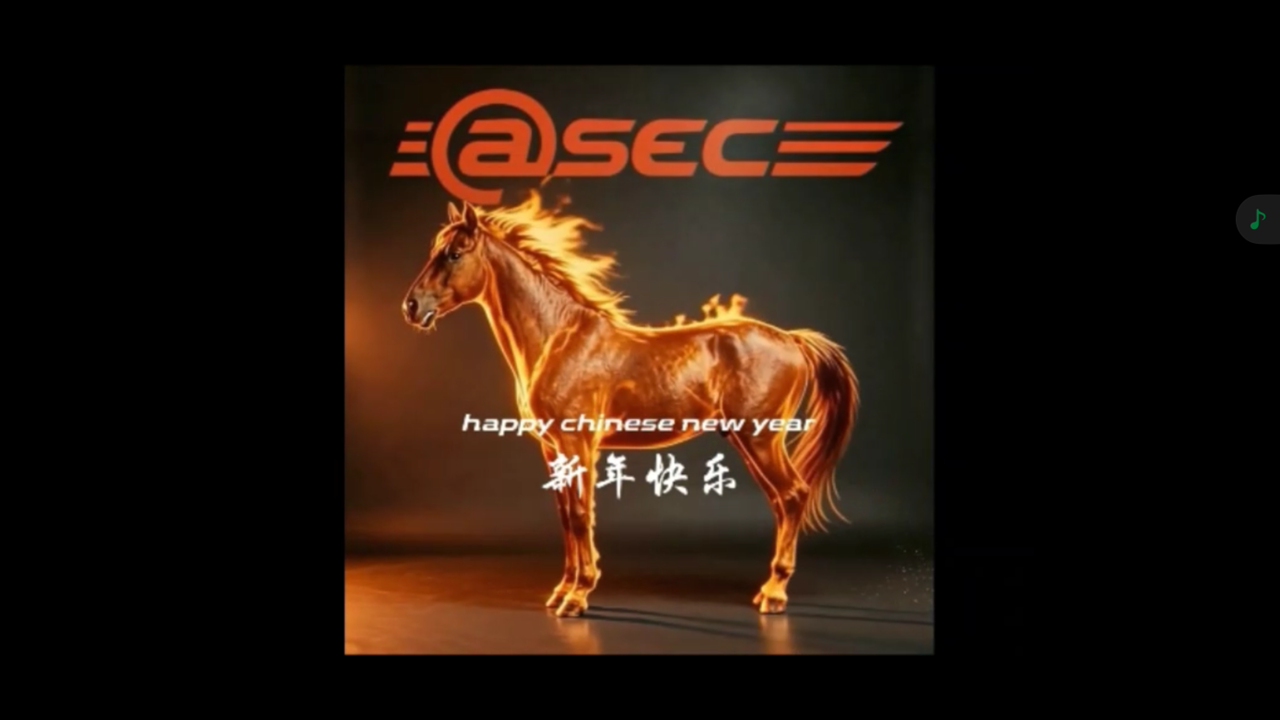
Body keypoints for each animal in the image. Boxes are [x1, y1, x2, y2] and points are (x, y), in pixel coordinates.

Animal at [401, 192, 859, 618]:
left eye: (454, 253)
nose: (412, 306)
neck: (558, 338)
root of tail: (792, 339)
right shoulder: (553, 449)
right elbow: (565, 516)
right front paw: (562, 591)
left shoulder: (578, 444)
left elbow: (581, 514)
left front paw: (578, 596)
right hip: (751, 441)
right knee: (782, 502)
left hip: (761, 440)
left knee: (793, 496)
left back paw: (775, 593)